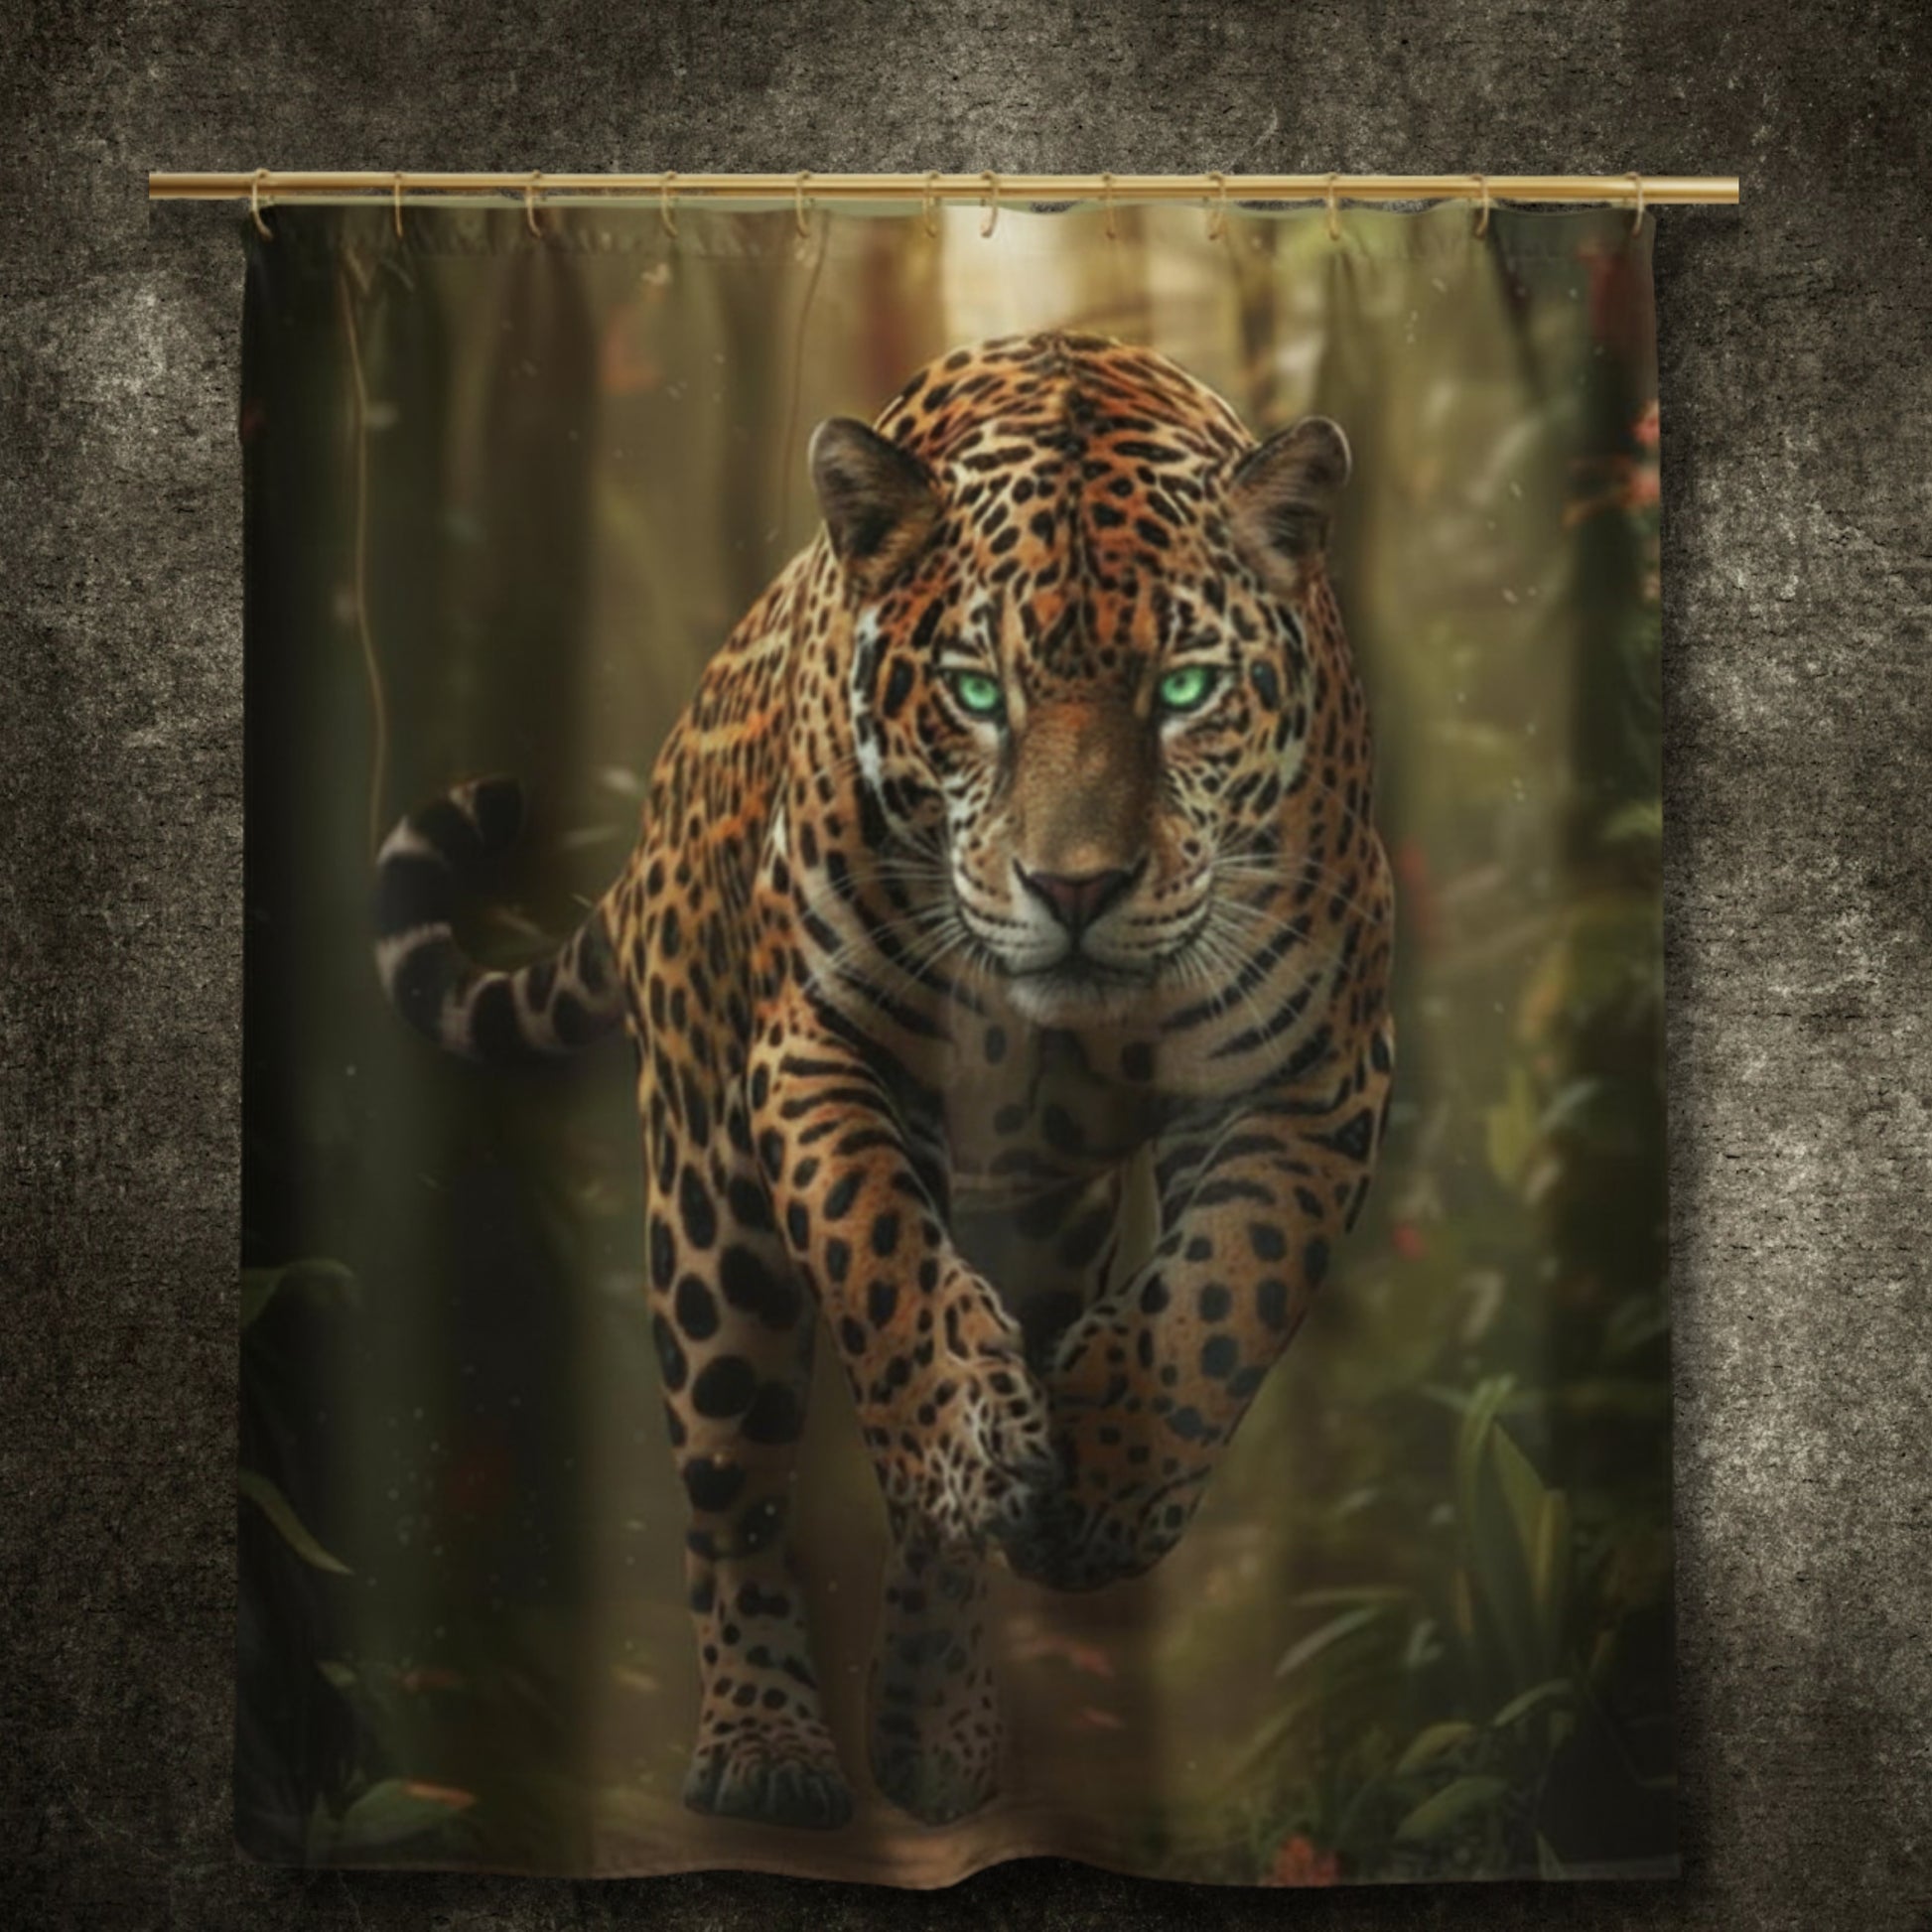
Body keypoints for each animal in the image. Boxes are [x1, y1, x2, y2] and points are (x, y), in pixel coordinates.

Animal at [374, 330, 1395, 1833]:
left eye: (1183, 692)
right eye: (977, 693)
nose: (1074, 889)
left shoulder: (1315, 1069)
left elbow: (1224, 1294)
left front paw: (1106, 1484)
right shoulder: (817, 1045)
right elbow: (875, 1247)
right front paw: (973, 1434)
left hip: (1046, 1228)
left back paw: (937, 1716)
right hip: (709, 1215)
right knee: (731, 1489)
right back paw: (768, 1742)